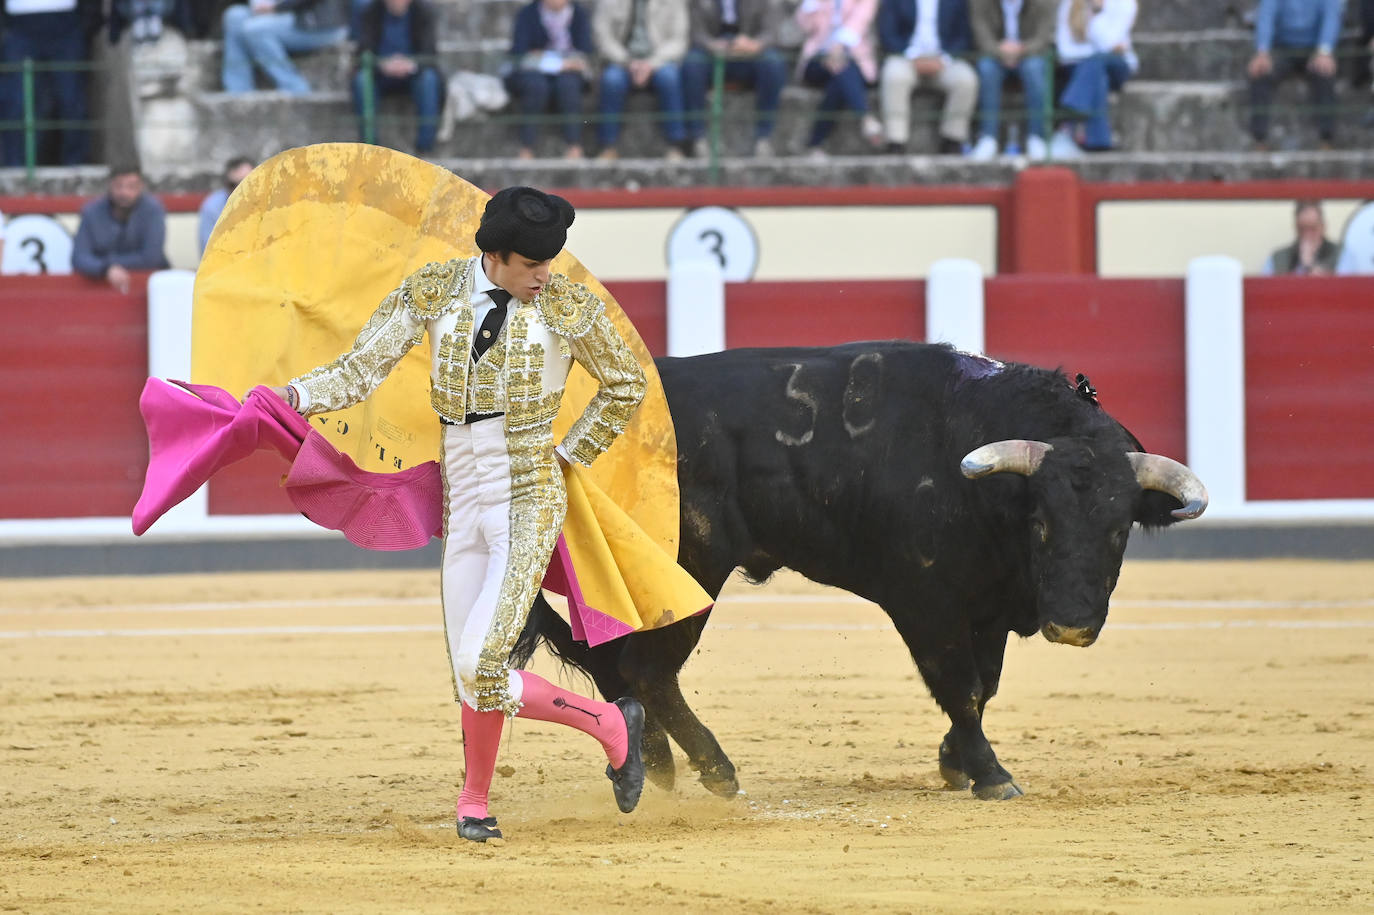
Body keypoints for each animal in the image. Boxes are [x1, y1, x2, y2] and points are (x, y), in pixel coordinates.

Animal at [513, 337, 1203, 796]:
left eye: (1119, 530)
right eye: (1041, 523)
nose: (1072, 624)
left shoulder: (987, 610)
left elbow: (986, 685)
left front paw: (955, 761)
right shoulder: (927, 604)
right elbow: (962, 687)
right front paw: (989, 774)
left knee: (618, 664)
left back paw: (653, 765)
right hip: (692, 568)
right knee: (646, 670)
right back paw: (716, 772)